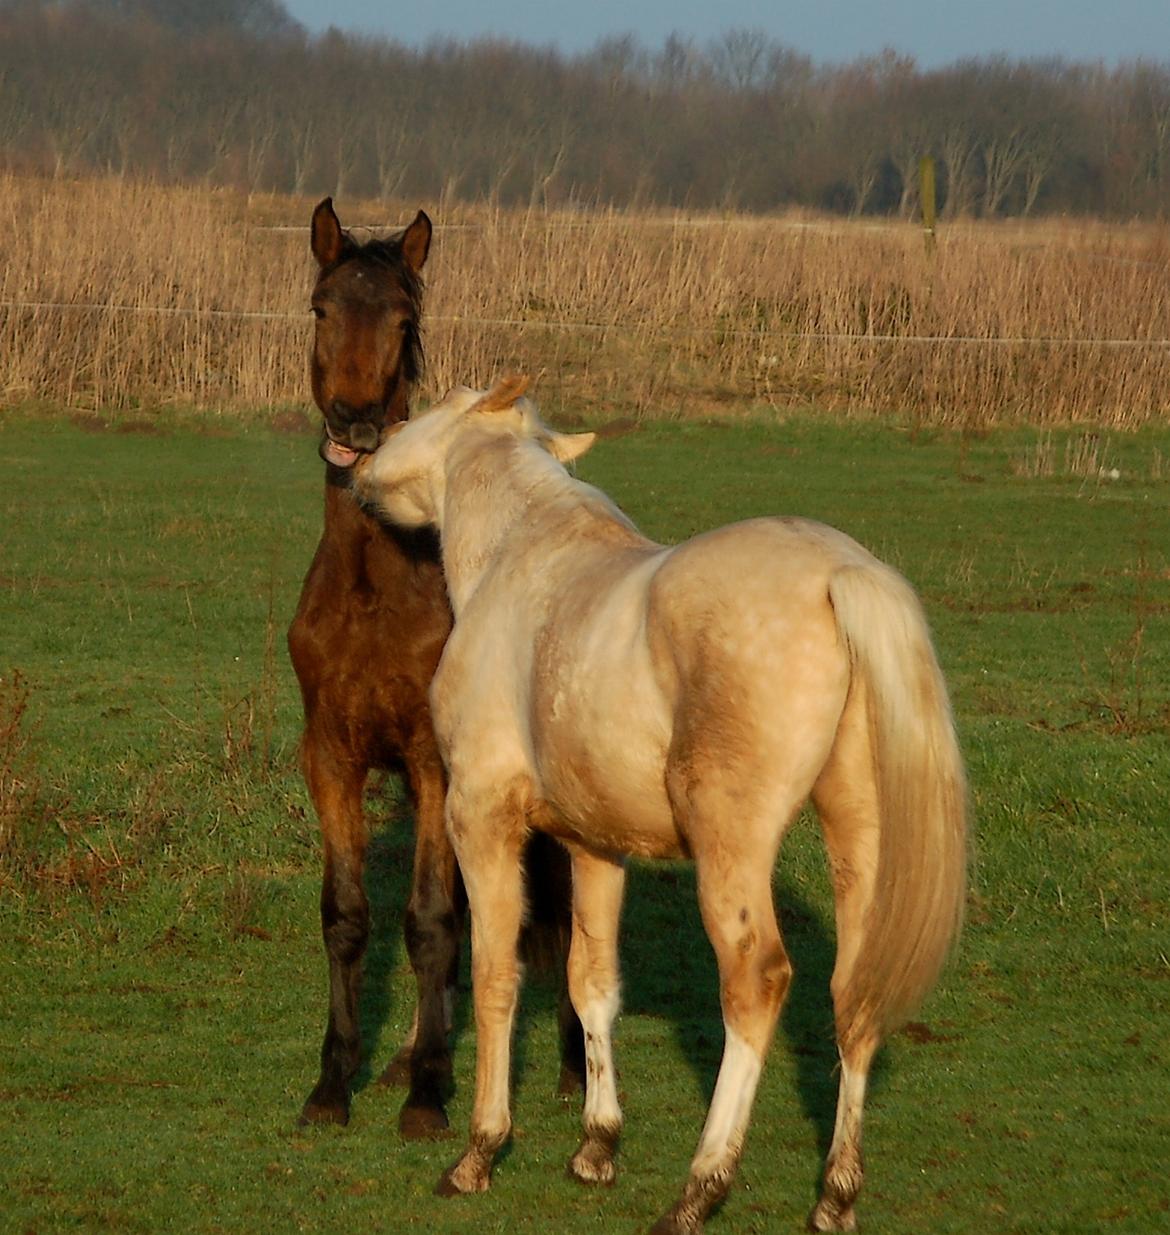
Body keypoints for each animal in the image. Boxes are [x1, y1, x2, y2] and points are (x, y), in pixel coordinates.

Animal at [287, 202, 580, 1136]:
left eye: (403, 320)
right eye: (321, 308)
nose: (352, 426)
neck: (374, 592)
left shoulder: (431, 764)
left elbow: (431, 921)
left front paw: (427, 1095)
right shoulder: (331, 758)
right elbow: (347, 916)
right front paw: (334, 1083)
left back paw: (566, 1064)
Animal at [353, 377, 968, 1235]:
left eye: (428, 407)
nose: (360, 456)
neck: (523, 557)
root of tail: (839, 572)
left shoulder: (480, 819)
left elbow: (495, 975)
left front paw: (479, 1151)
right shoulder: (595, 846)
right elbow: (592, 981)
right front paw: (597, 1145)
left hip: (731, 852)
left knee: (756, 983)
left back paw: (699, 1187)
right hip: (859, 838)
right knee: (854, 991)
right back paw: (835, 1194)